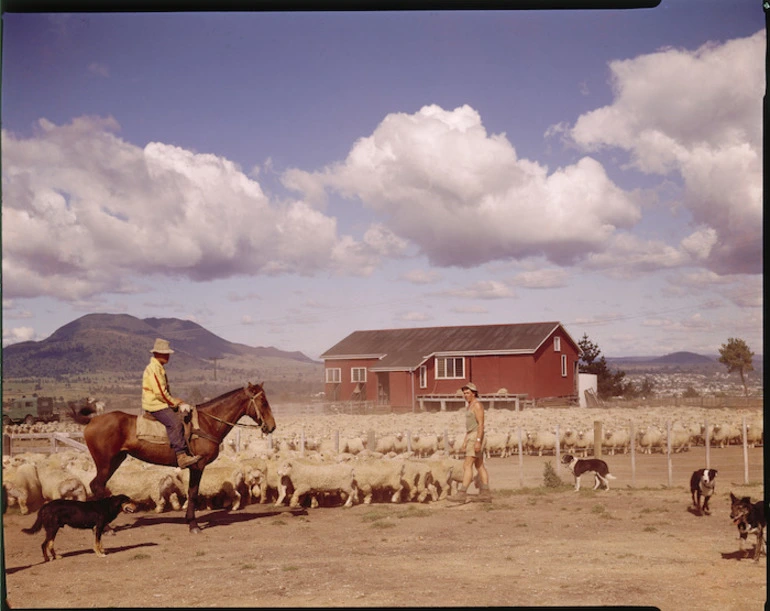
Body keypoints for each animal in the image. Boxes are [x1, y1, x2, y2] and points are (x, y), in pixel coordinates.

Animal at [83, 384, 274, 532]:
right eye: (263, 402)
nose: (272, 426)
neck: (206, 423)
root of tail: (91, 421)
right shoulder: (197, 465)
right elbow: (193, 493)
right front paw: (193, 524)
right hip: (105, 462)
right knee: (96, 485)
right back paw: (107, 527)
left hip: (115, 460)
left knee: (97, 485)